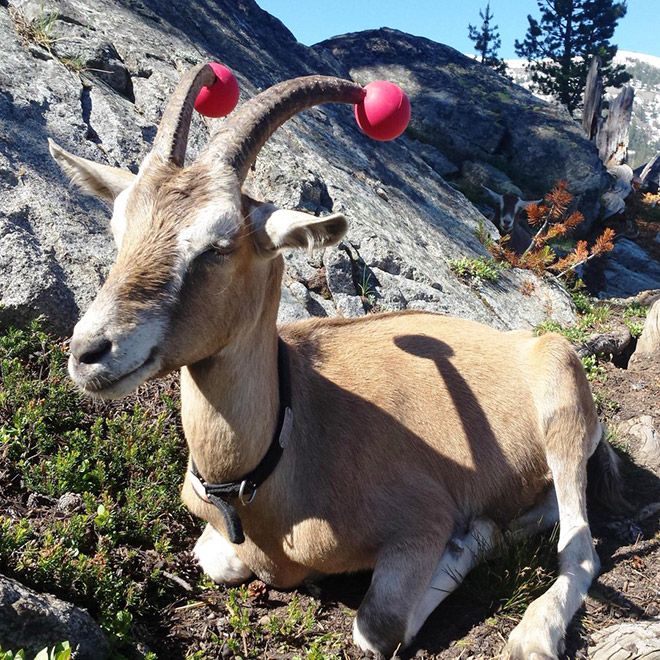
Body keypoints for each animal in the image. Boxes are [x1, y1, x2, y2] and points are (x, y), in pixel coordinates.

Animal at [51, 64, 620, 656]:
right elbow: (212, 559)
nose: (88, 352)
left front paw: (465, 544)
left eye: (219, 244)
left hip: (562, 414)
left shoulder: (420, 520)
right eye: (119, 228)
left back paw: (531, 629)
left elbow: (377, 627)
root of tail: (527, 342)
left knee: (579, 548)